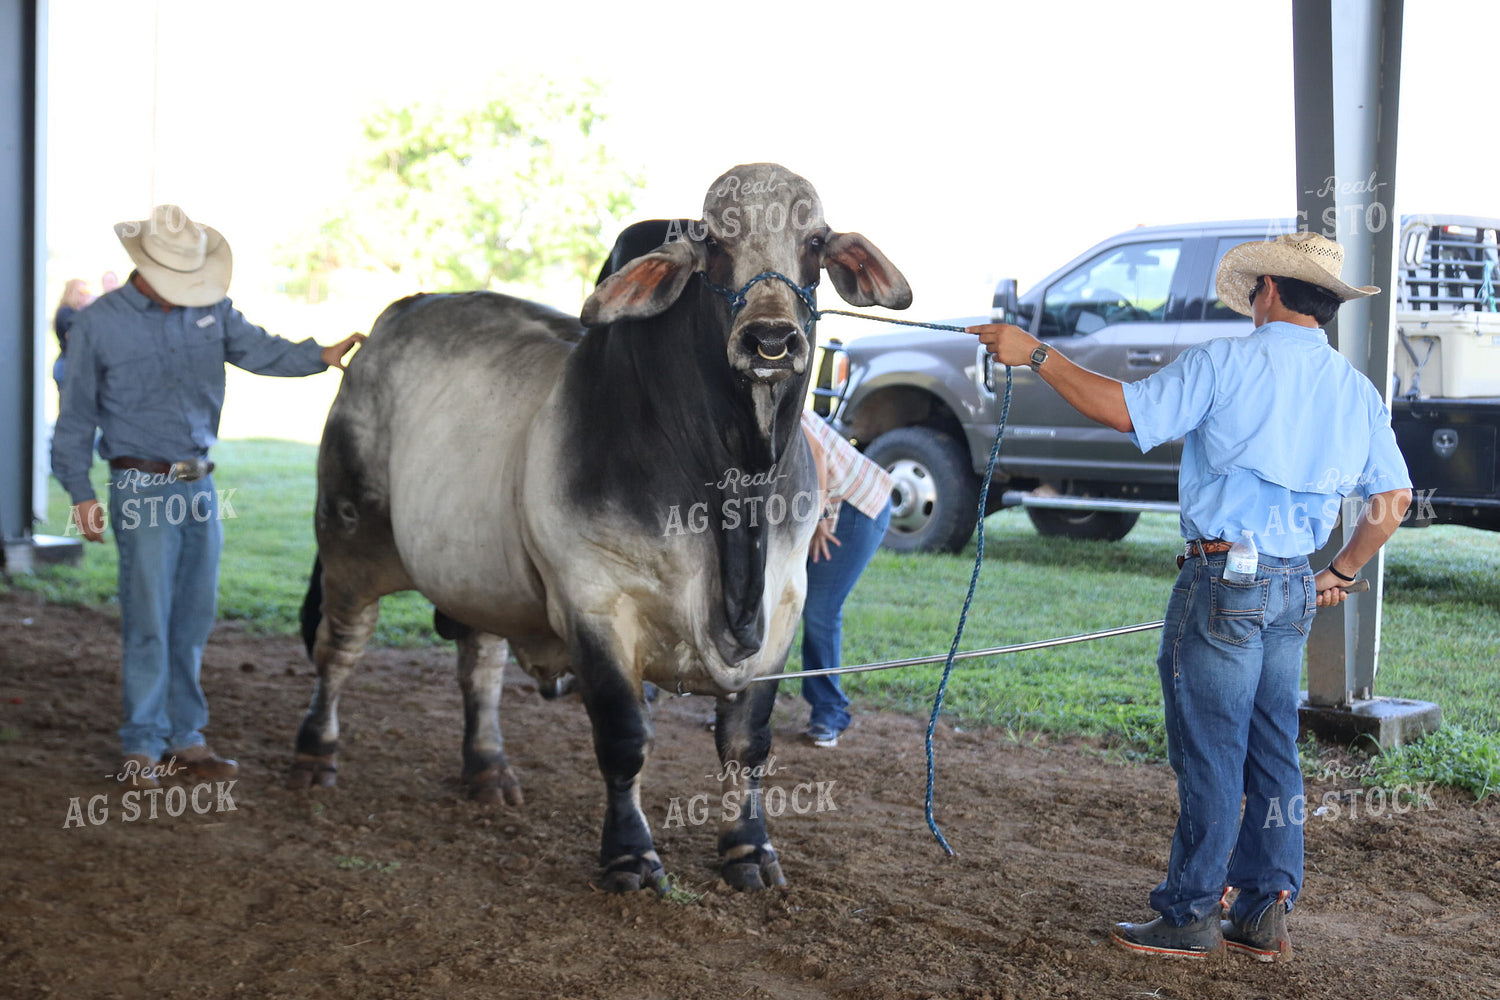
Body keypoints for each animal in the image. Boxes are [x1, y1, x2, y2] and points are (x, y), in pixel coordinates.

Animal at [291, 163, 912, 892]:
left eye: (815, 241)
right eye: (711, 242)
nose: (770, 338)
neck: (733, 481)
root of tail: (391, 321)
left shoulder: (784, 609)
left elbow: (746, 742)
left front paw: (749, 848)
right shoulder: (595, 604)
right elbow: (625, 738)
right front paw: (630, 854)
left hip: (477, 575)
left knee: (479, 667)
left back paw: (488, 769)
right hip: (348, 541)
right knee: (339, 651)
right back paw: (315, 755)